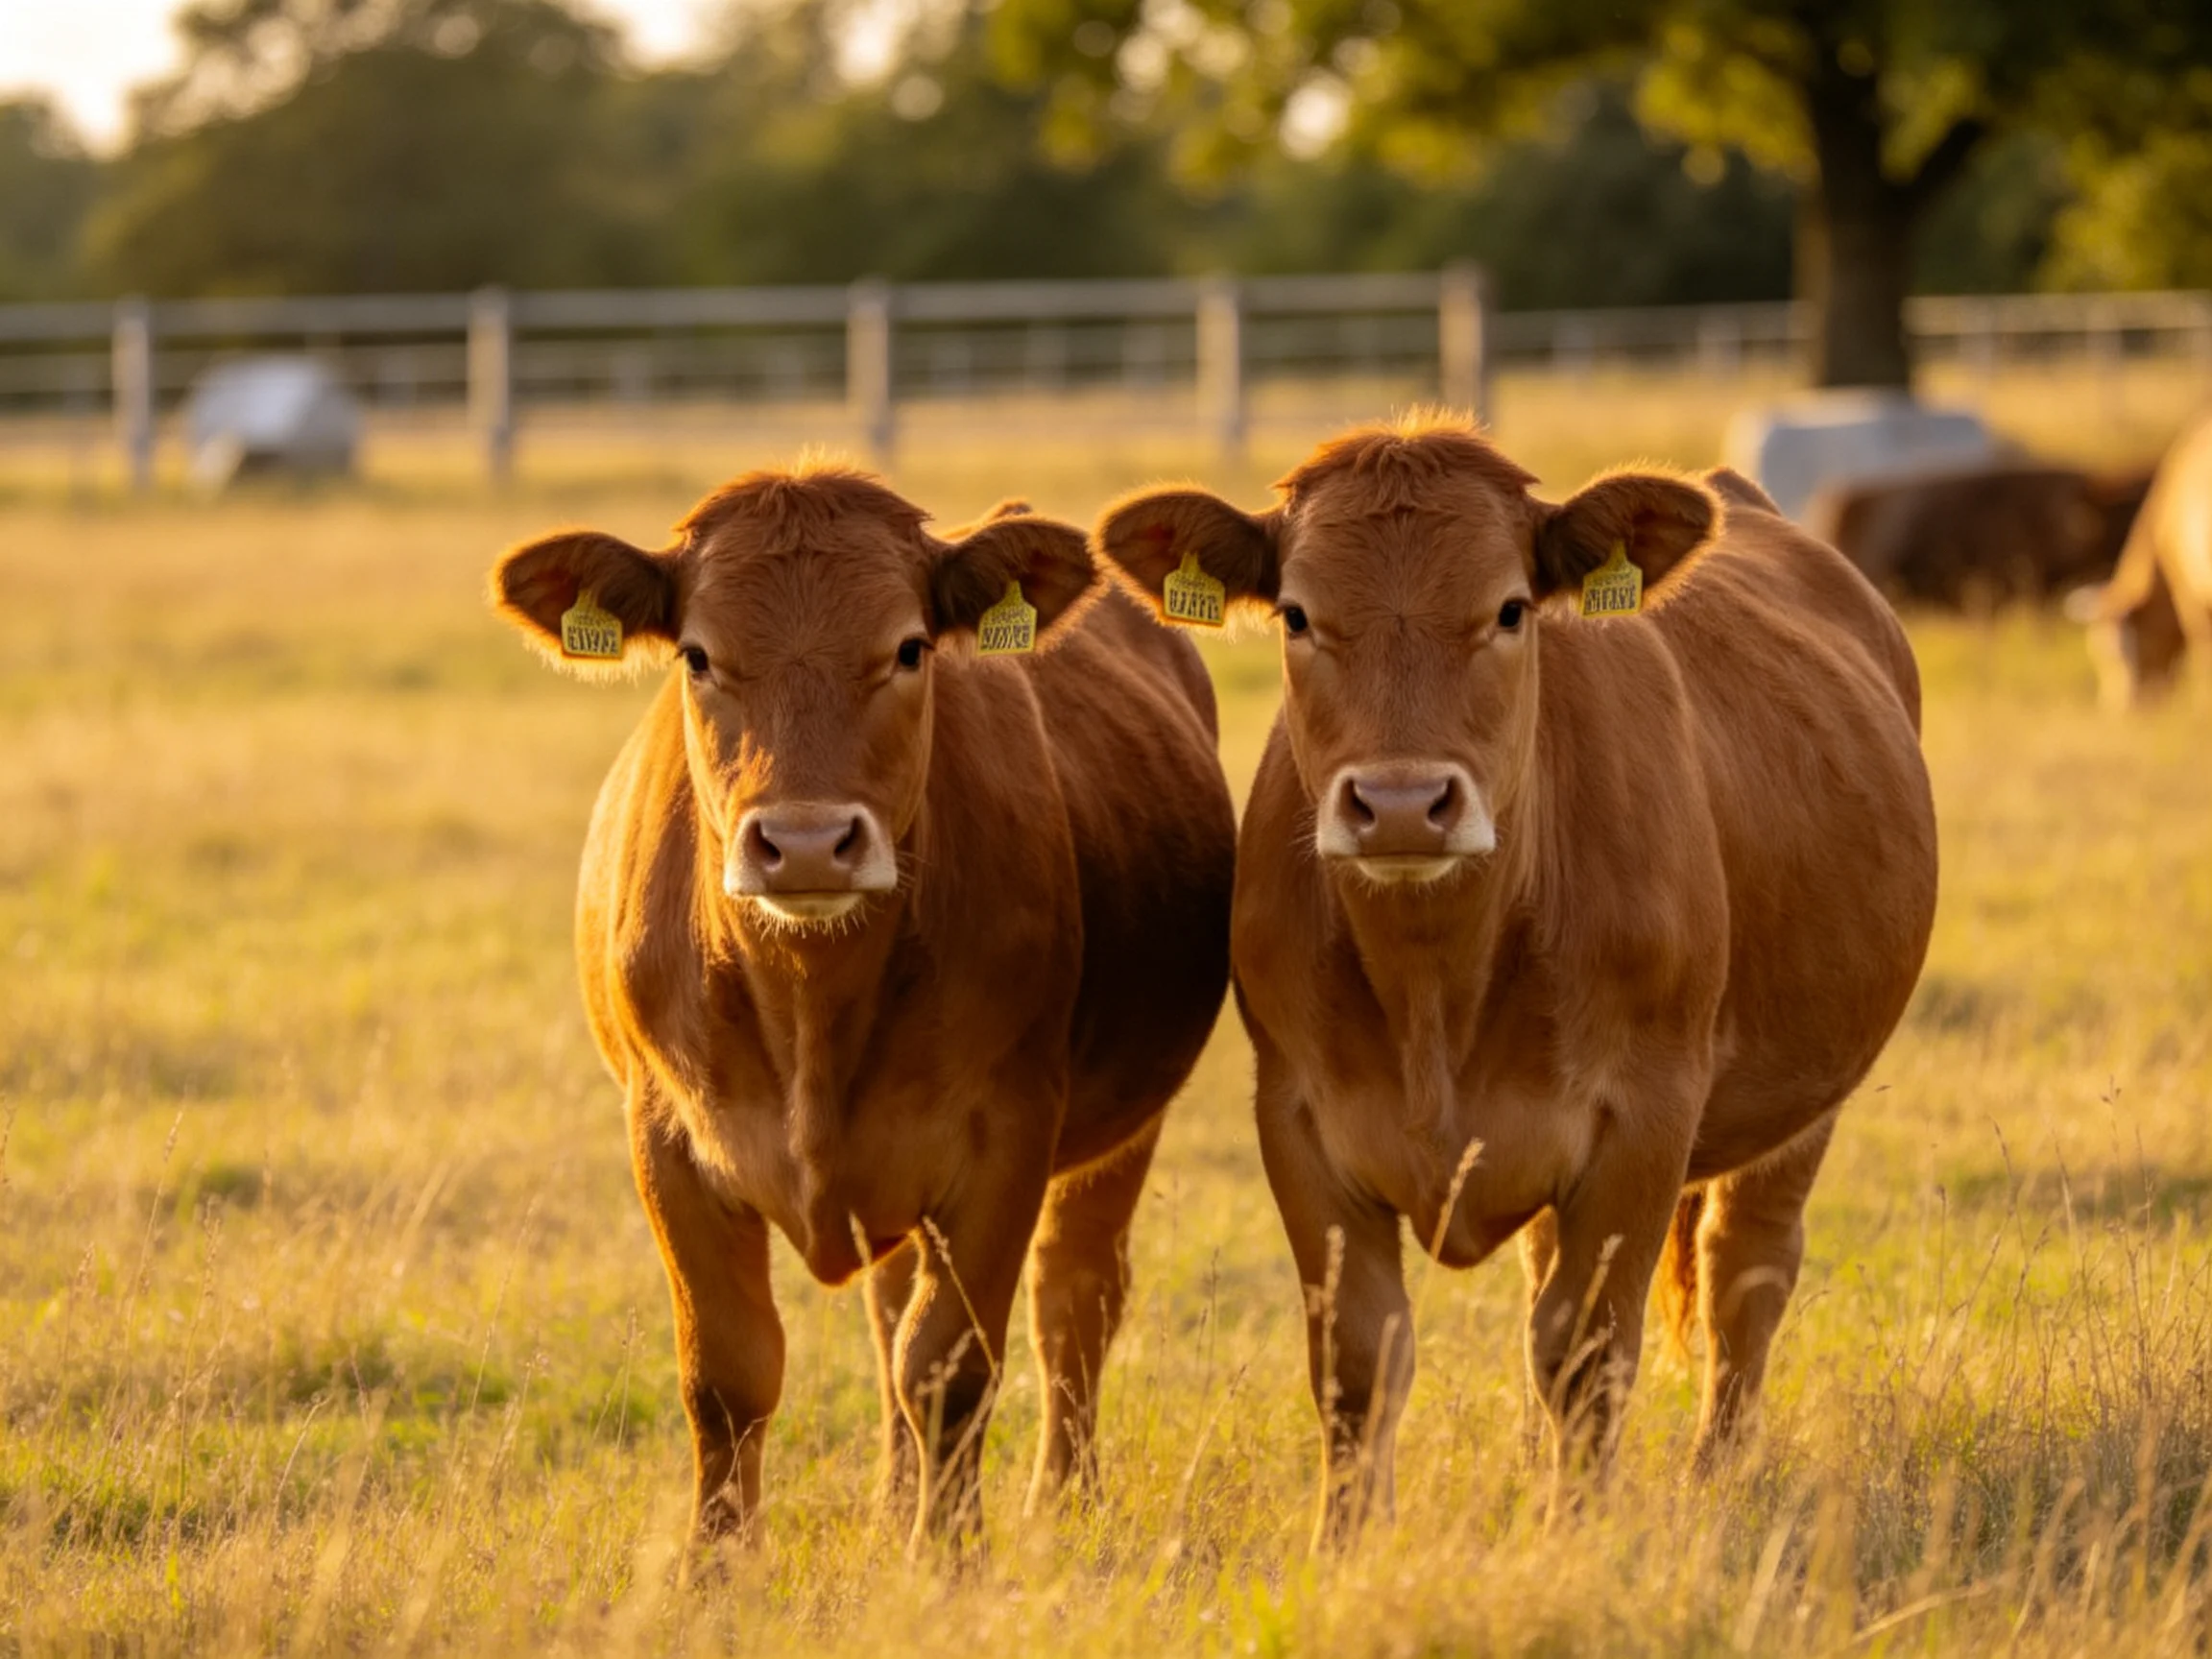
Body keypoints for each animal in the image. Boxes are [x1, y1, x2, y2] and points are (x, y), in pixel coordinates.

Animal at [489, 468, 1236, 1549]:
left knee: (1073, 1298)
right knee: (893, 1307)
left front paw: (948, 1556)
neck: (810, 1005)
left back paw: (1062, 1501)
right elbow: (728, 1374)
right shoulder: (666, 1140)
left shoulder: (1006, 1140)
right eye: (699, 655)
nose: (804, 843)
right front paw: (715, 1566)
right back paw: (892, 1500)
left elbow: (950, 1366)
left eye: (909, 648)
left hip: (1121, 1131)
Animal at [1093, 417, 1938, 1545]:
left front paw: (1574, 1535)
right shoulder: (1299, 1121)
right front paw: (1345, 1546)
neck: (1437, 988)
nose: (1402, 804)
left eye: (1508, 609)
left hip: (1805, 1102)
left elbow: (1585, 1350)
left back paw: (1717, 1474)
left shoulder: (1644, 1122)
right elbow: (1359, 1357)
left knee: (1744, 1271)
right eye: (1299, 614)